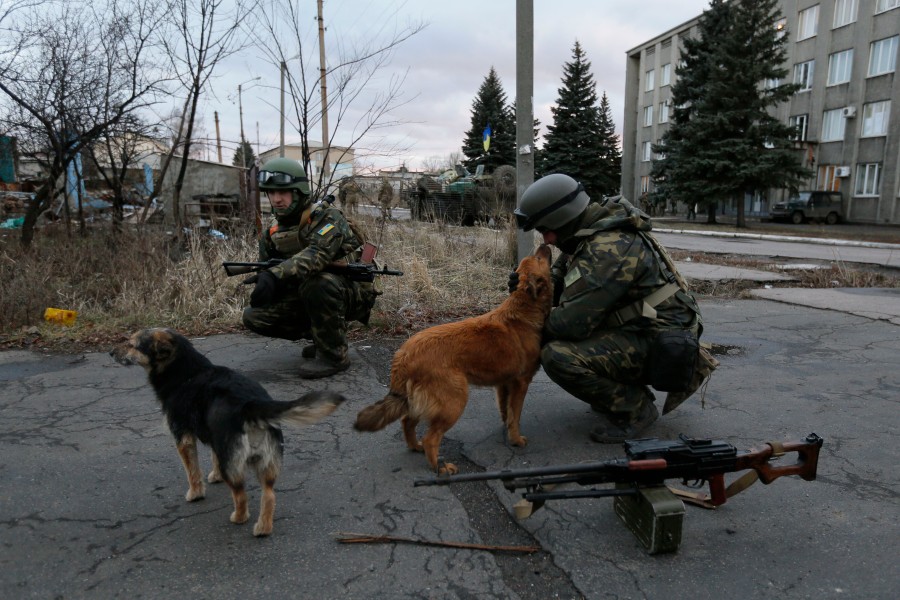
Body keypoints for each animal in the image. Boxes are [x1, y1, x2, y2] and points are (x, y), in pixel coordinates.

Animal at [109, 330, 342, 536]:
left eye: (132, 344)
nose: (110, 352)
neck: (187, 372)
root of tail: (250, 405)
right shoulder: (215, 438)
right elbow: (212, 459)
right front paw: (215, 476)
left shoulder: (183, 438)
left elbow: (192, 472)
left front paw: (195, 494)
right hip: (265, 463)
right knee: (269, 496)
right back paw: (263, 528)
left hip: (232, 464)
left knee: (241, 496)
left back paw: (239, 518)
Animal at [354, 244, 552, 474]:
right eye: (539, 258)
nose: (545, 245)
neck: (523, 308)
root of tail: (404, 354)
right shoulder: (521, 383)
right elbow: (516, 415)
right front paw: (516, 440)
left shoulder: (504, 384)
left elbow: (507, 413)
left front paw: (507, 431)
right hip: (454, 401)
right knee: (431, 438)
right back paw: (440, 468)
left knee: (407, 422)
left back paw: (415, 446)